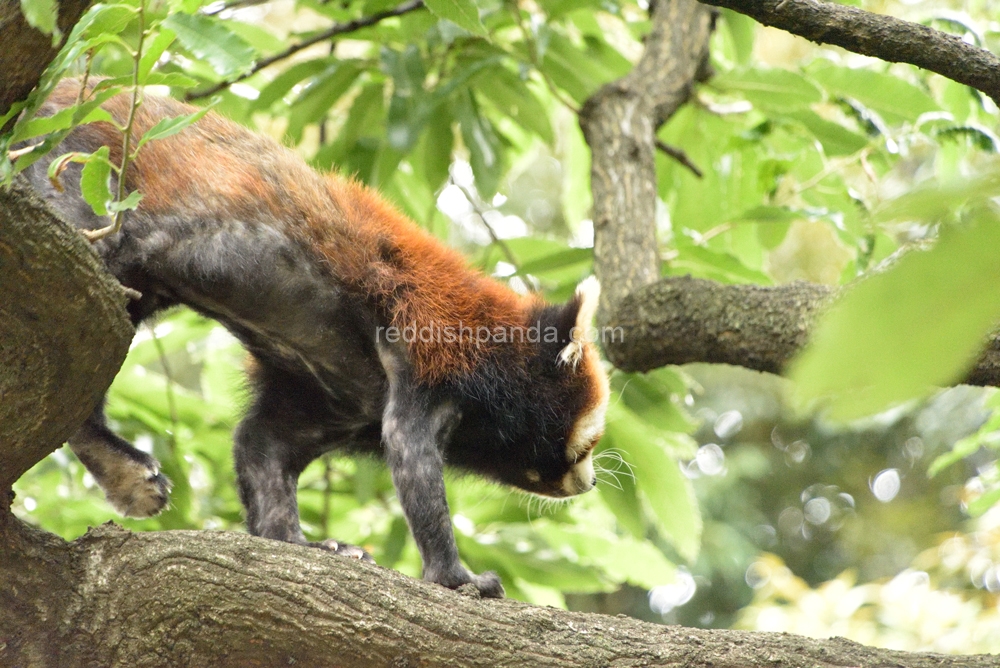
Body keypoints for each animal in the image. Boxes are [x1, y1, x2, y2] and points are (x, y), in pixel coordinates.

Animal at [25, 77, 608, 596]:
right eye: (589, 443)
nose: (593, 482)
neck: (493, 359)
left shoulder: (339, 393)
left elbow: (263, 447)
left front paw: (295, 544)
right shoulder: (425, 354)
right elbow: (410, 451)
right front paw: (456, 577)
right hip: (82, 171)